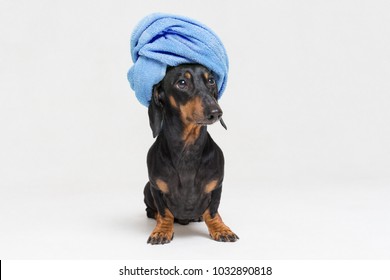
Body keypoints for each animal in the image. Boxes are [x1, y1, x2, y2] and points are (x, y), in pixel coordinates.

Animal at [143, 63, 238, 245]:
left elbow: (212, 211)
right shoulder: (155, 187)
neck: (187, 149)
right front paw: (162, 230)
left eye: (211, 80)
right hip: (146, 189)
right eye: (182, 82)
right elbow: (165, 213)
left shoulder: (217, 186)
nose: (216, 112)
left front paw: (221, 229)